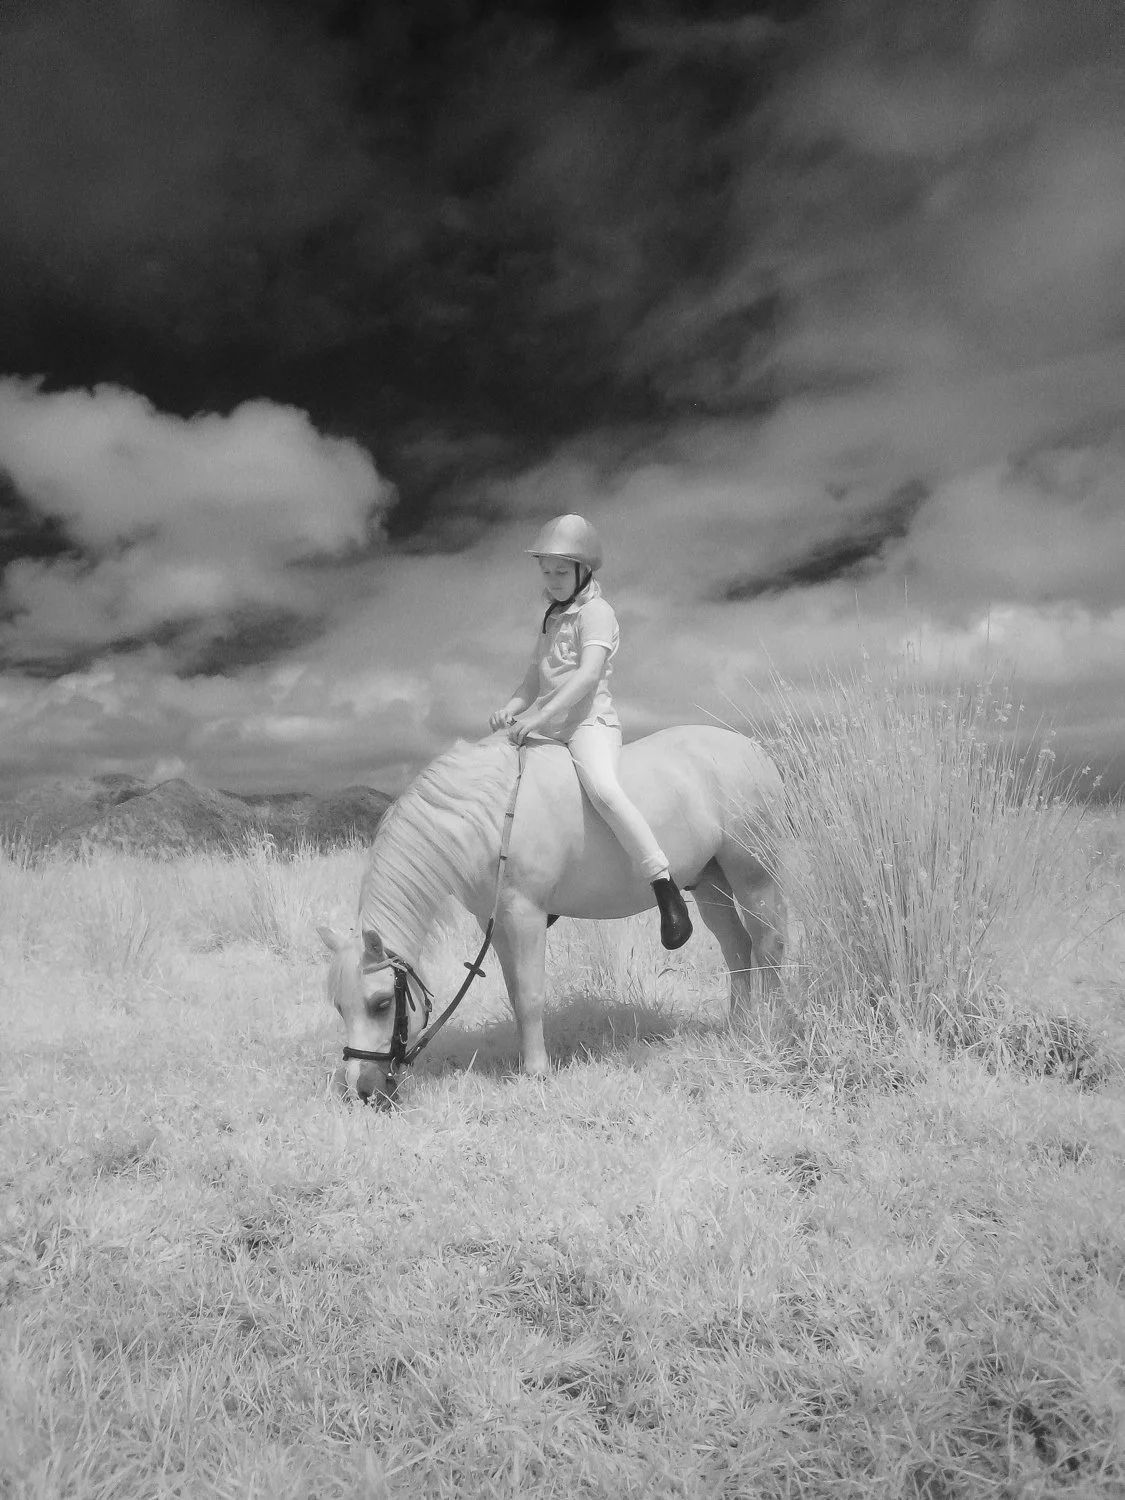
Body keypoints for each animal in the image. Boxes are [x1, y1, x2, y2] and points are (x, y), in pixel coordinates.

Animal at [318, 724, 787, 1104]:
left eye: (381, 1004)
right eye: (339, 1006)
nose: (363, 1090)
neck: (491, 815)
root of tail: (756, 750)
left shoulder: (524, 915)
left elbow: (530, 995)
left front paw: (536, 1073)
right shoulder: (496, 924)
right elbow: (515, 993)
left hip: (754, 877)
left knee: (769, 943)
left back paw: (768, 1024)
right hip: (710, 881)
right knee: (737, 948)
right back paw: (738, 1026)